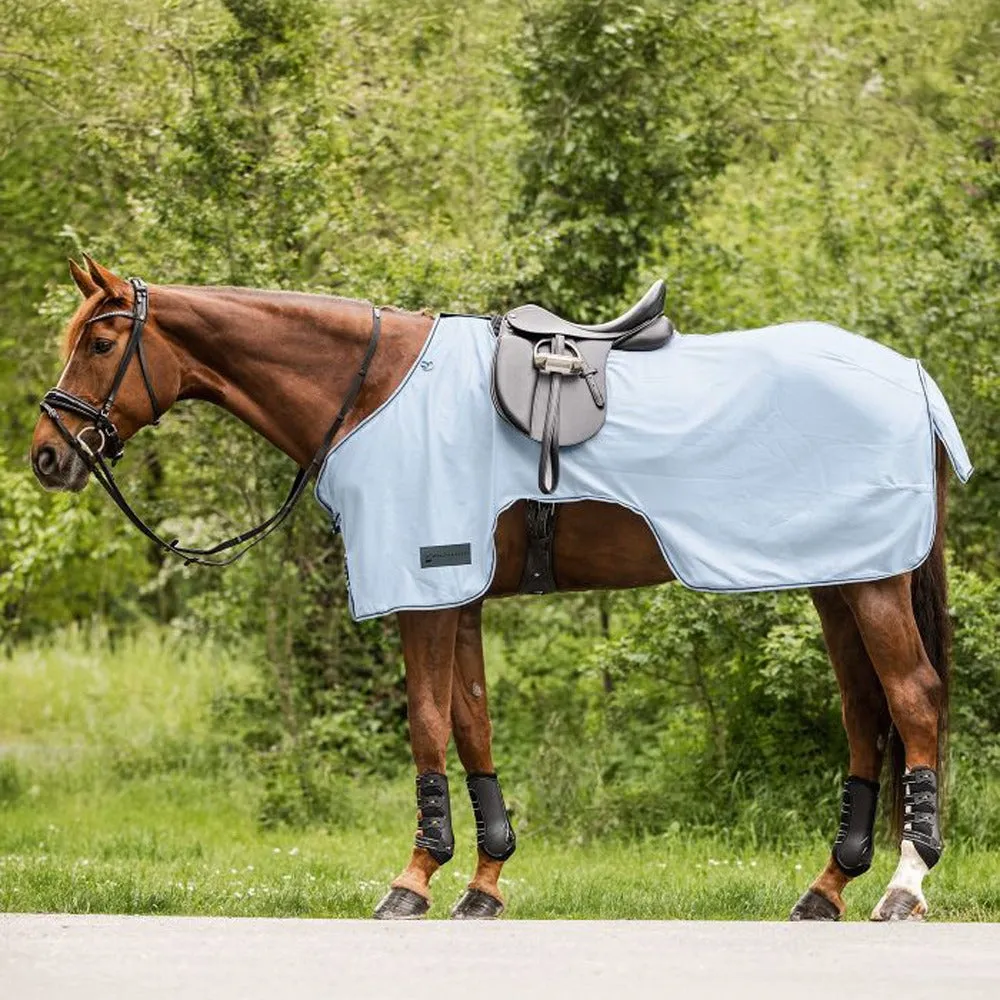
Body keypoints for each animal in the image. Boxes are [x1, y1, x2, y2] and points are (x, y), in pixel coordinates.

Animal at [31, 256, 958, 922]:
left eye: (101, 344)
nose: (47, 455)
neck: (373, 390)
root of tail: (913, 376)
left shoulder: (422, 590)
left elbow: (426, 724)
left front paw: (413, 880)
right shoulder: (459, 596)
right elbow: (472, 723)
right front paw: (484, 882)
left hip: (873, 585)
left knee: (912, 700)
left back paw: (904, 887)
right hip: (838, 583)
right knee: (865, 712)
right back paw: (826, 889)